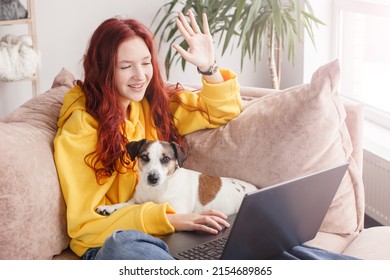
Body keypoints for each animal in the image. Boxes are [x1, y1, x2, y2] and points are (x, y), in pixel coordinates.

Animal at [96, 139, 258, 215]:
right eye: (144, 157)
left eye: (166, 159)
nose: (152, 178)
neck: (157, 190)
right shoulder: (136, 200)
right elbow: (126, 204)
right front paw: (110, 207)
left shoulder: (177, 209)